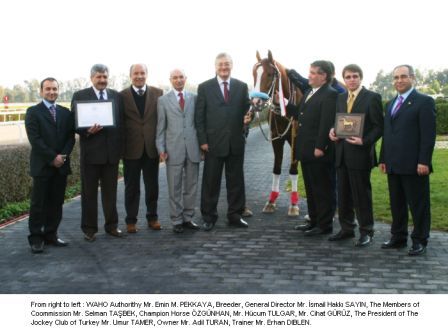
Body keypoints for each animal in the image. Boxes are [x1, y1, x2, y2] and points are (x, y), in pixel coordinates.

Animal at [252, 49, 304, 217]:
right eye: (254, 74)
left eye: (269, 74)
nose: (255, 102)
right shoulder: (277, 139)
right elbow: (276, 168)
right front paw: (271, 201)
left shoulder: (296, 140)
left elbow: (293, 171)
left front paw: (294, 204)